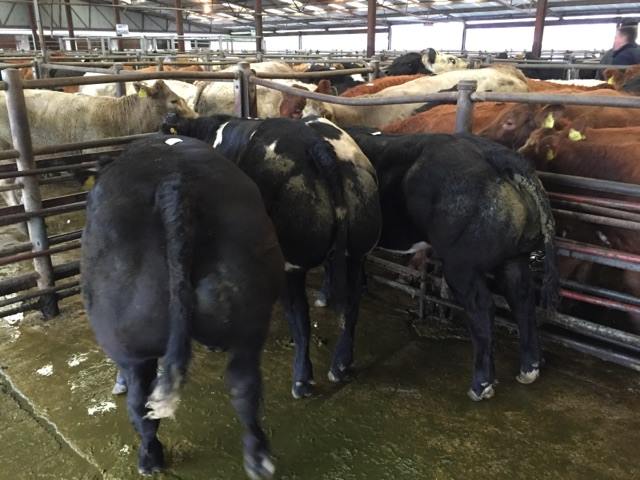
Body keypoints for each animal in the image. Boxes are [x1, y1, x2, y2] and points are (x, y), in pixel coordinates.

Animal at [82, 135, 283, 478]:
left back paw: (149, 457)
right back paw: (258, 458)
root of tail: (174, 182)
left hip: (129, 338)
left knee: (139, 403)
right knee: (245, 386)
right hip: (249, 315)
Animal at [162, 114, 381, 400]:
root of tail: (317, 145)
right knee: (351, 306)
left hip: (291, 262)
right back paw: (341, 364)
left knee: (300, 318)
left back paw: (302, 380)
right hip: (356, 253)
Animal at [344, 128, 558, 401]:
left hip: (461, 265)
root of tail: (497, 155)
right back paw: (530, 368)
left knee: (483, 308)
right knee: (522, 299)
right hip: (514, 258)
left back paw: (480, 385)